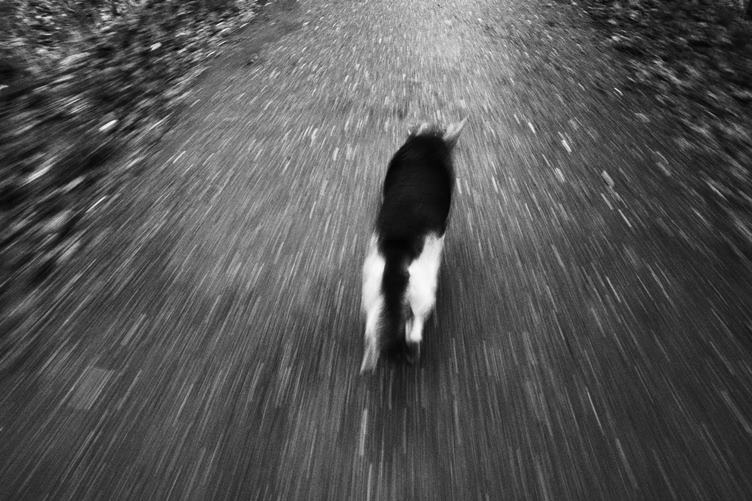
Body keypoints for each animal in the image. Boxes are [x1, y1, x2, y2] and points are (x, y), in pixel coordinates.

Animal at [360, 118, 466, 373]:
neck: (424, 146)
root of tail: (397, 257)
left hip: (373, 295)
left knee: (373, 330)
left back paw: (370, 358)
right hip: (423, 296)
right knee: (414, 330)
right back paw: (412, 351)